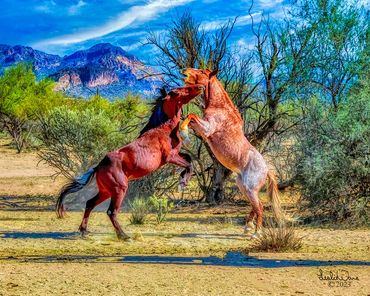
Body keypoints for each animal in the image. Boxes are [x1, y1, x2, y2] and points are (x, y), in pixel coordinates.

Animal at [56, 84, 204, 239]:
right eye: (177, 91)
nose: (200, 87)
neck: (162, 128)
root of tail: (98, 167)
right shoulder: (170, 157)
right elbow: (189, 164)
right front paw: (183, 182)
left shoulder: (176, 154)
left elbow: (189, 158)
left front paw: (182, 179)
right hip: (119, 189)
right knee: (111, 211)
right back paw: (124, 236)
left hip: (106, 191)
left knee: (90, 203)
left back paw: (84, 230)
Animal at [181, 68, 282, 237]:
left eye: (201, 71)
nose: (184, 72)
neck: (219, 107)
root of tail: (266, 170)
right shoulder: (202, 128)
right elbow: (189, 118)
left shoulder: (207, 128)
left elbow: (191, 115)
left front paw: (184, 137)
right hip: (243, 187)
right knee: (255, 206)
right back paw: (248, 227)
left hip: (249, 188)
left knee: (259, 207)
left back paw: (256, 233)